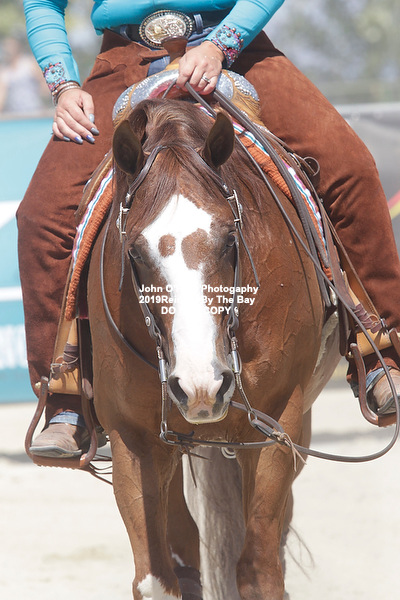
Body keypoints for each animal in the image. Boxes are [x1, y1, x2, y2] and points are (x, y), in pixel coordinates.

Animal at [86, 95, 340, 600]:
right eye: (134, 253)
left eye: (229, 239)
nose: (201, 386)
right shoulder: (132, 437)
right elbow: (155, 578)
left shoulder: (276, 425)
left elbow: (260, 571)